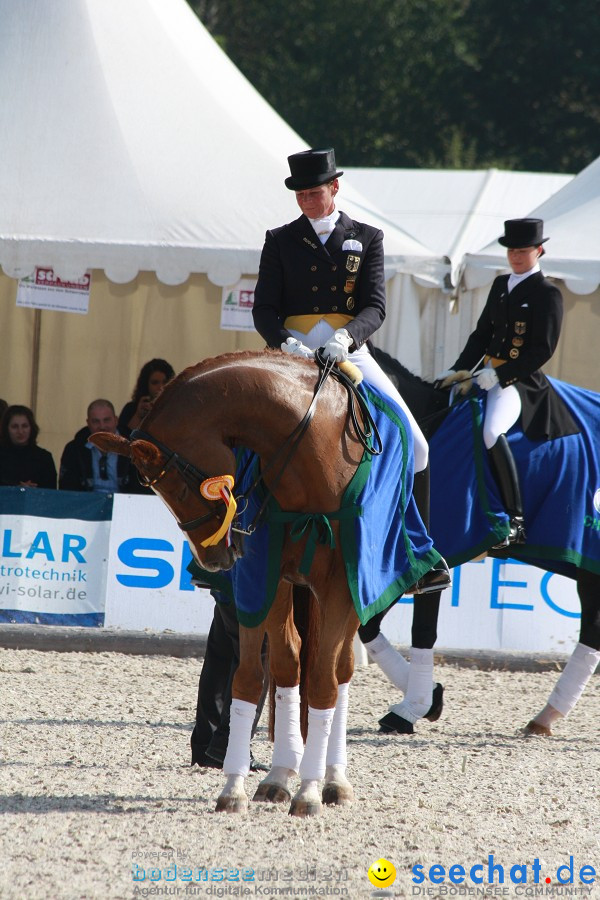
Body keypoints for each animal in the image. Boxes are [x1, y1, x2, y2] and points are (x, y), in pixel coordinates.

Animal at [90, 350, 436, 816]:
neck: (312, 454)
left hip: (351, 594)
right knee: (290, 664)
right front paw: (235, 786)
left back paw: (333, 779)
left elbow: (323, 683)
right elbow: (255, 677)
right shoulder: (263, 579)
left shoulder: (342, 588)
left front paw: (309, 792)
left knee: (339, 672)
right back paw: (279, 775)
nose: (214, 559)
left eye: (179, 486)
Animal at [370, 348, 600, 736]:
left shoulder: (429, 561)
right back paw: (546, 716)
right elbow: (367, 629)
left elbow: (419, 630)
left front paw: (415, 707)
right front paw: (429, 700)